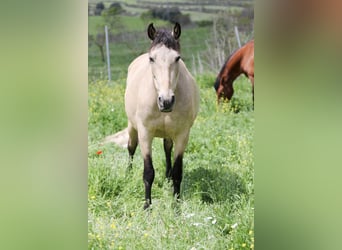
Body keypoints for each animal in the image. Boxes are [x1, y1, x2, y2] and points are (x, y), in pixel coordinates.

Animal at [124, 22, 199, 209]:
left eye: (177, 58)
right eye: (152, 59)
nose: (166, 101)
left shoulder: (182, 135)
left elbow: (178, 172)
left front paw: (177, 206)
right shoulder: (145, 133)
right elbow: (148, 172)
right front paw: (147, 207)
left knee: (167, 148)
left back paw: (167, 177)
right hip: (132, 127)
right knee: (131, 148)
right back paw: (127, 174)